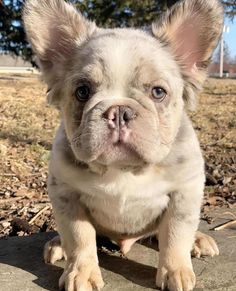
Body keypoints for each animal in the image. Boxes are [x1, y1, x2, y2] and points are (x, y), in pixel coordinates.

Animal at [23, 0, 224, 291]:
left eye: (158, 92)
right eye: (82, 92)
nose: (118, 111)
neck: (124, 169)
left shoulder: (184, 193)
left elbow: (176, 234)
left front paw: (176, 270)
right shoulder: (67, 196)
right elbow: (79, 237)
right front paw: (81, 273)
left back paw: (198, 240)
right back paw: (57, 244)